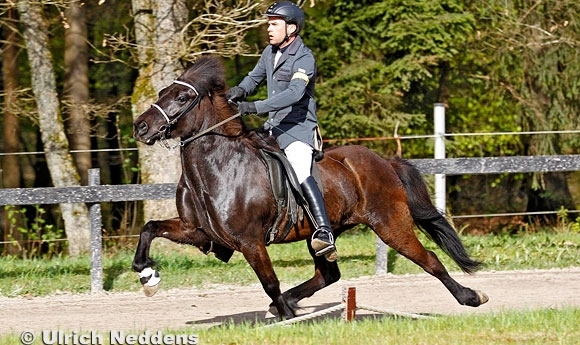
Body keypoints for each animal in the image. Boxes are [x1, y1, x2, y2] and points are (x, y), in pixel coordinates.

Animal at [133, 55, 490, 318]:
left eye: (182, 97)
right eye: (162, 92)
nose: (141, 127)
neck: (218, 168)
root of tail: (385, 162)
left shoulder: (250, 242)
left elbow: (270, 282)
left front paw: (287, 317)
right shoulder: (199, 232)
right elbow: (149, 228)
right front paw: (147, 276)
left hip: (391, 225)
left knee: (429, 258)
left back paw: (470, 297)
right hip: (323, 234)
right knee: (328, 274)